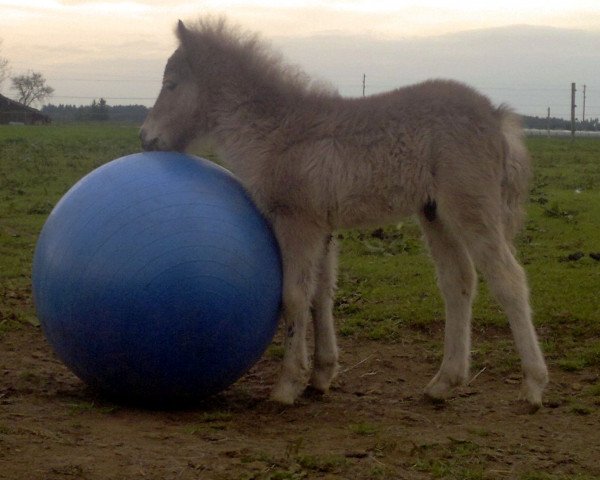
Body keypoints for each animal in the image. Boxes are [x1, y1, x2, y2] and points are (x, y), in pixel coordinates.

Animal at [141, 17, 548, 408]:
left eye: (171, 84)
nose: (146, 137)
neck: (276, 131)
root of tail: (497, 116)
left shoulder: (298, 223)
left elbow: (294, 296)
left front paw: (287, 385)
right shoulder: (324, 228)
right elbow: (321, 295)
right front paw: (320, 376)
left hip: (470, 208)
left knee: (508, 279)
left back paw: (533, 385)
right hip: (435, 215)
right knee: (458, 283)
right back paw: (443, 383)